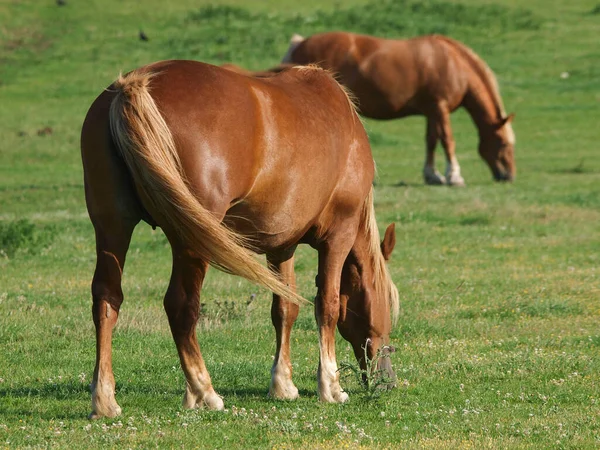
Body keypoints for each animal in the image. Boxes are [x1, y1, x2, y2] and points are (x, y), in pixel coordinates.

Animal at [79, 59, 398, 418]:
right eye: (388, 304)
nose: (387, 381)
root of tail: (133, 85)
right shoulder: (338, 237)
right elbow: (327, 305)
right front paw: (330, 386)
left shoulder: (281, 246)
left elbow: (285, 308)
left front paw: (283, 385)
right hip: (191, 238)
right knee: (180, 306)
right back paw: (204, 392)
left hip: (112, 227)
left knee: (107, 299)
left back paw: (105, 400)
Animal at [282, 32, 516, 186]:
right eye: (504, 144)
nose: (509, 176)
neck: (454, 64)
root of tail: (300, 44)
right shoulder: (440, 108)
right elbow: (448, 140)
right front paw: (454, 176)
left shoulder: (432, 112)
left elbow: (431, 141)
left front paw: (432, 175)